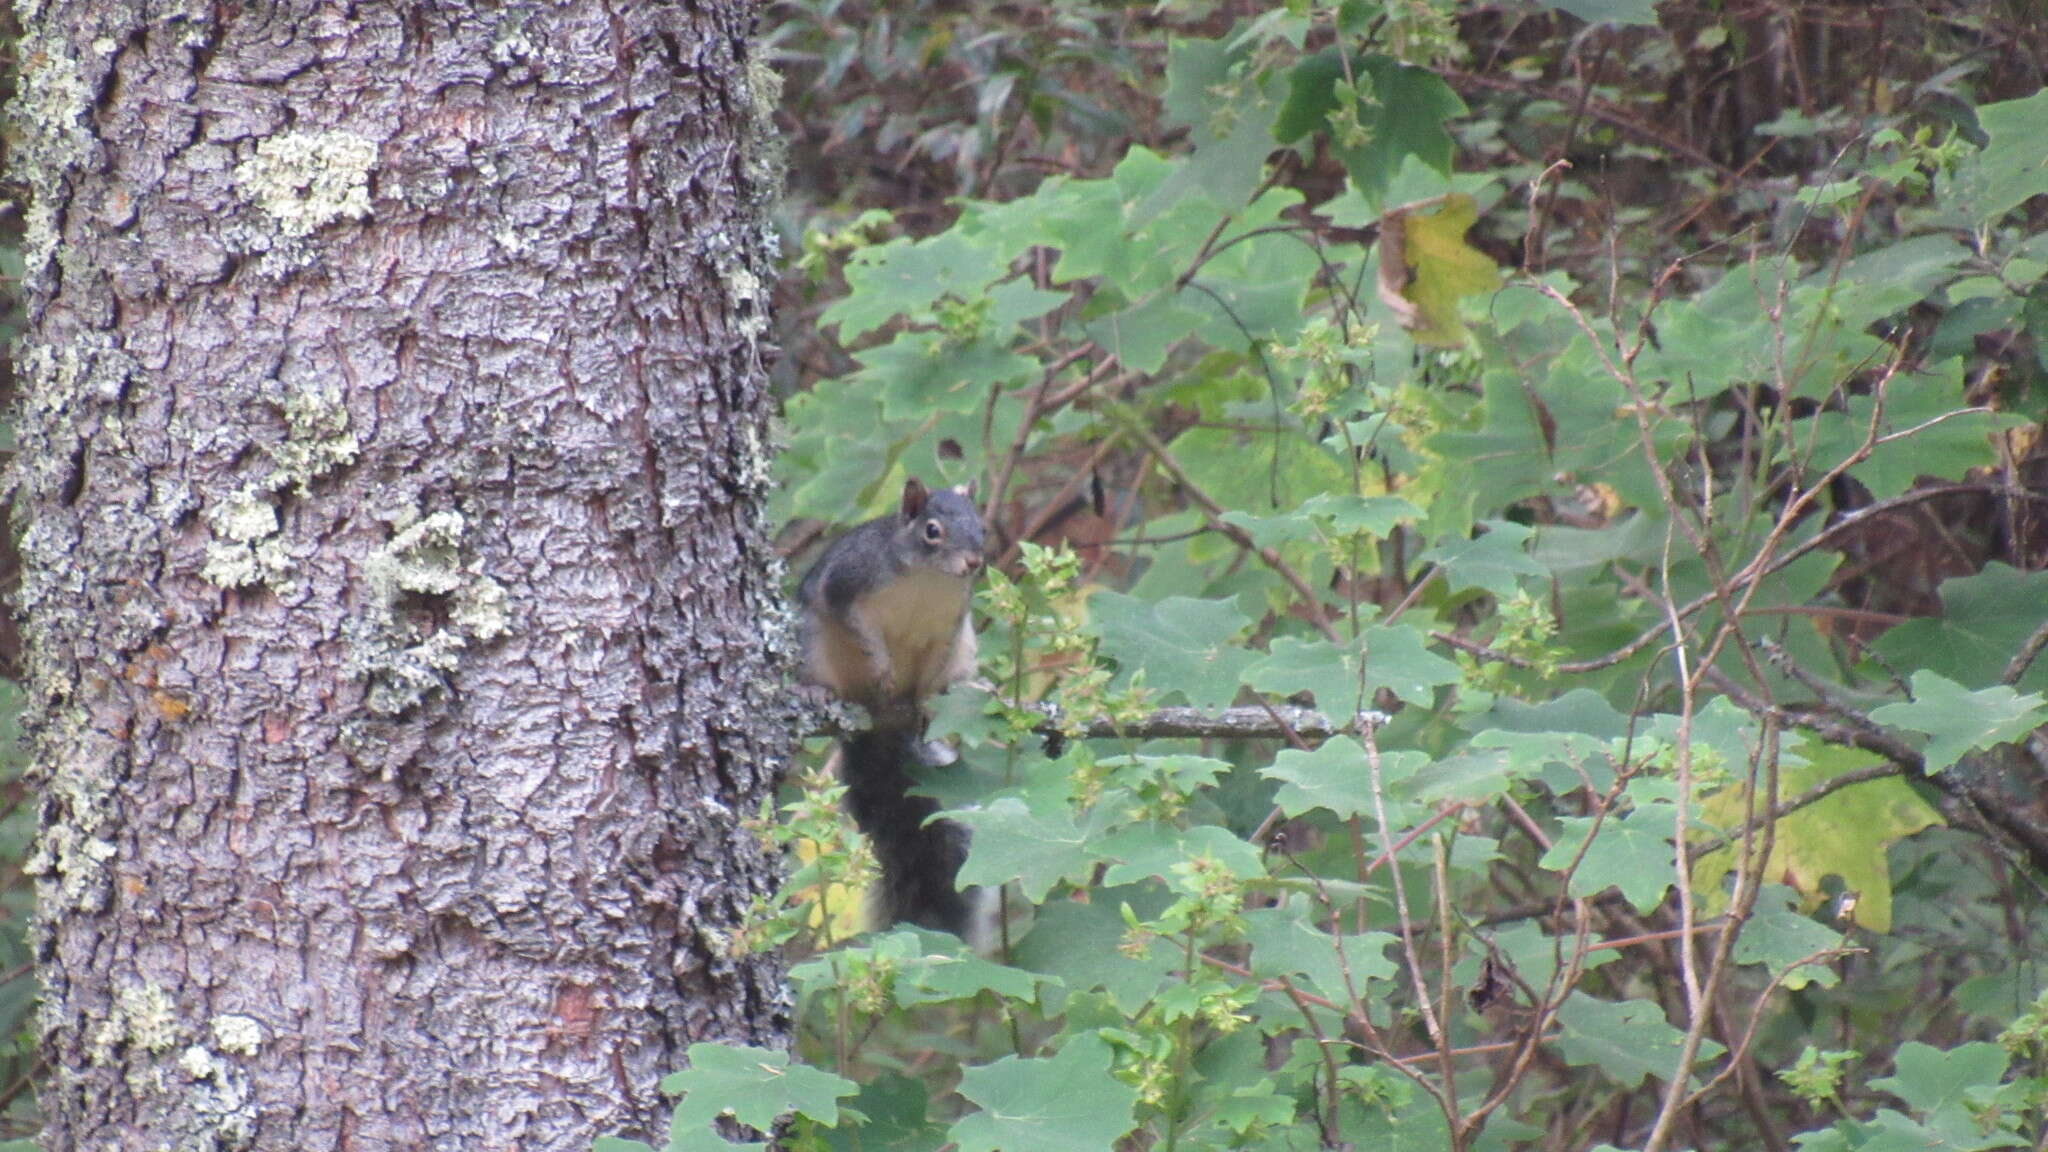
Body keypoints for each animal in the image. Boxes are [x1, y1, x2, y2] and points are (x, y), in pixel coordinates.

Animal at [794, 471, 995, 947]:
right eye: (932, 531)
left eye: (982, 528)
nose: (973, 563)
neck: (927, 579)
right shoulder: (846, 582)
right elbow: (856, 627)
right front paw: (882, 668)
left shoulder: (949, 630)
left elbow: (931, 672)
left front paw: (926, 701)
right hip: (811, 641)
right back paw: (822, 693)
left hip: (967, 647)